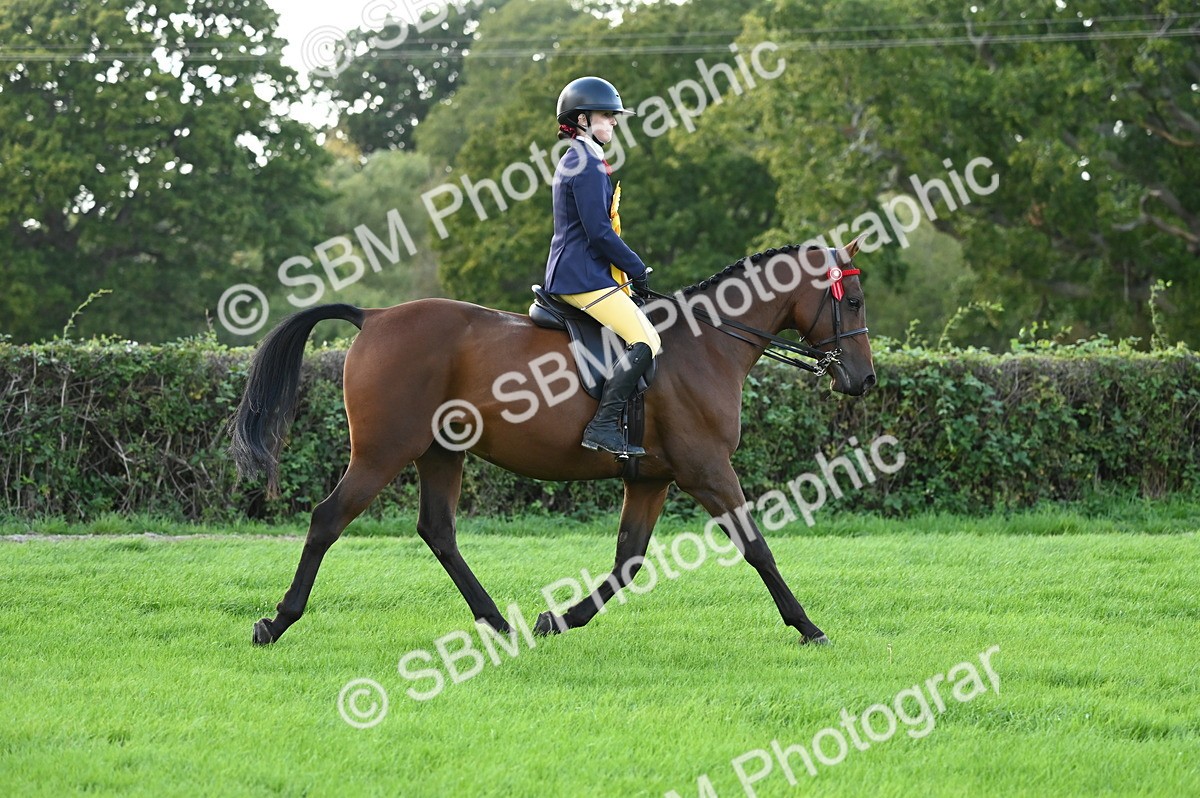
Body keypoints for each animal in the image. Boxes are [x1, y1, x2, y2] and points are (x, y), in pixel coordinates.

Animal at [230, 238, 874, 647]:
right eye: (853, 301)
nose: (864, 380)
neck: (707, 342)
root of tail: (375, 315)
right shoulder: (707, 470)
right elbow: (757, 547)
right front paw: (809, 627)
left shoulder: (652, 479)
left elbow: (627, 560)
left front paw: (558, 621)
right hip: (382, 453)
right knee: (328, 518)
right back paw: (276, 622)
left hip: (441, 453)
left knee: (438, 531)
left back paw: (498, 624)